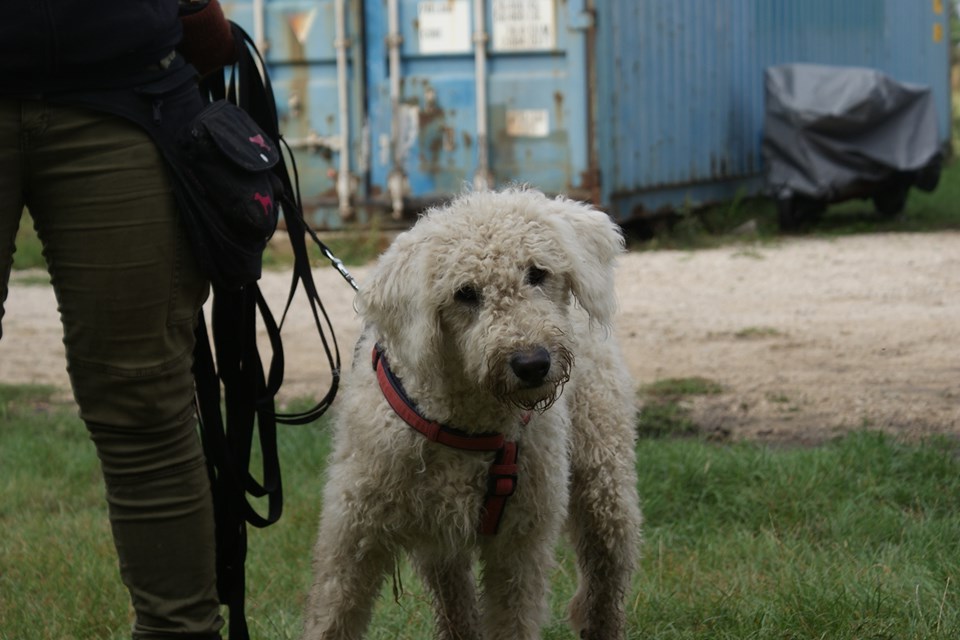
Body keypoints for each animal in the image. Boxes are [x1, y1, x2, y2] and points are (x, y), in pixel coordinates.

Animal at [304, 189, 640, 640]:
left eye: (537, 273)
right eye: (465, 293)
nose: (532, 363)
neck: (466, 426)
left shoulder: (519, 547)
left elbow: (513, 622)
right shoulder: (352, 539)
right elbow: (331, 617)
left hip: (605, 483)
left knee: (604, 584)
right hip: (439, 546)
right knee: (457, 607)